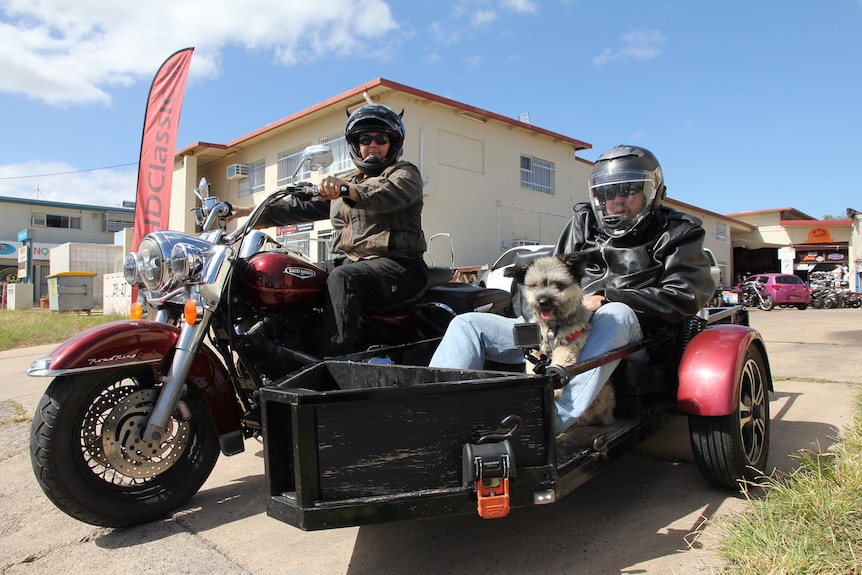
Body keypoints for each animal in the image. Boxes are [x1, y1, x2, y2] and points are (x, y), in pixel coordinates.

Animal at [502, 254, 616, 426]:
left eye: (558, 284)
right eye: (534, 285)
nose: (543, 301)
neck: (552, 327)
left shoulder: (567, 345)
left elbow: (558, 363)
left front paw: (554, 389)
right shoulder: (537, 350)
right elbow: (533, 367)